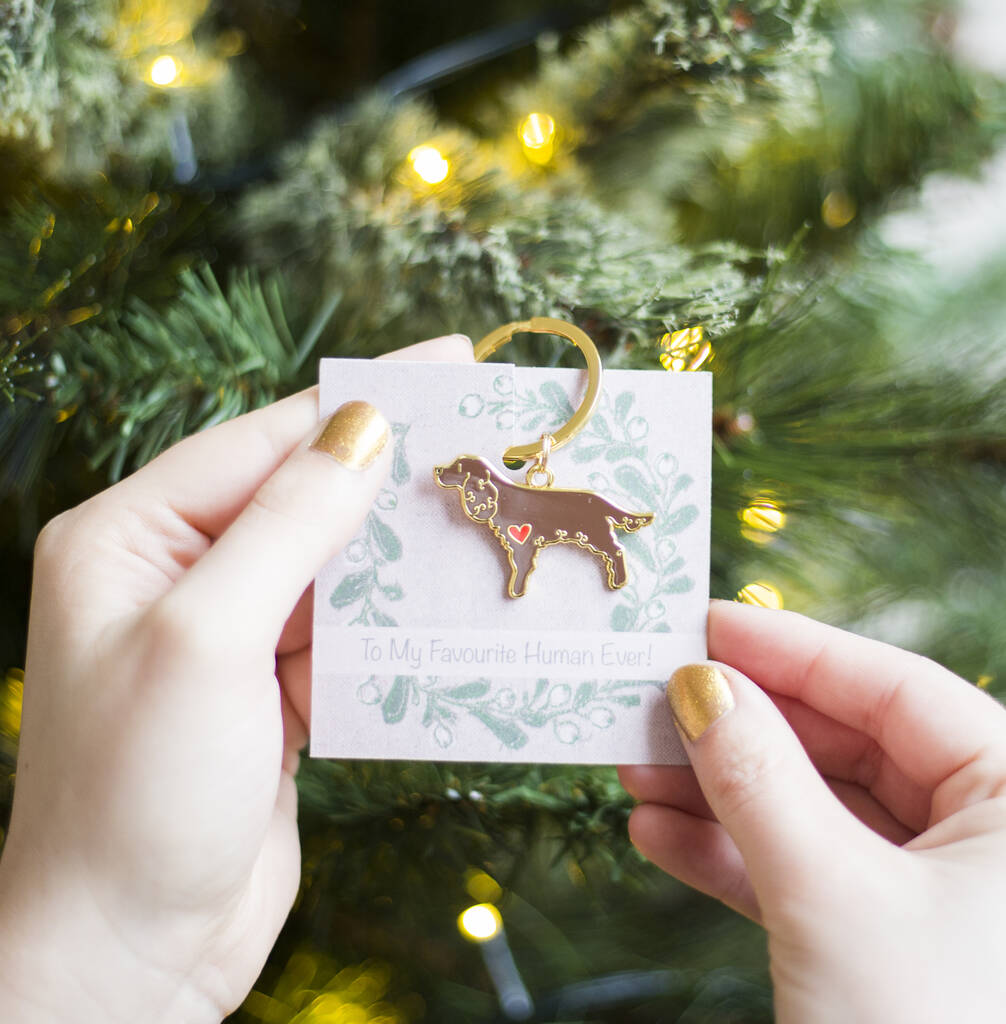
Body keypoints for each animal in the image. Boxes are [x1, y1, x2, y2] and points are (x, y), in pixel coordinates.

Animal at [436, 452, 655, 598]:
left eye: (458, 468)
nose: (437, 470)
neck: (502, 497)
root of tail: (602, 500)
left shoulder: (523, 544)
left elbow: (521, 568)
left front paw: (516, 590)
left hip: (596, 534)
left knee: (617, 550)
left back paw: (618, 581)